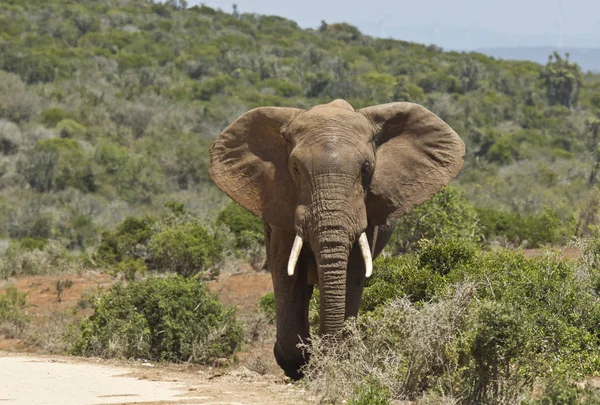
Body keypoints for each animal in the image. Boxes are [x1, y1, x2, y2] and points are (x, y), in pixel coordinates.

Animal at [209, 99, 466, 378]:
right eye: (295, 168)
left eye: (366, 169)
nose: (324, 356)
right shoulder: (280, 204)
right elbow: (286, 272)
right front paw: (297, 363)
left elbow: (353, 272)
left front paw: (335, 360)